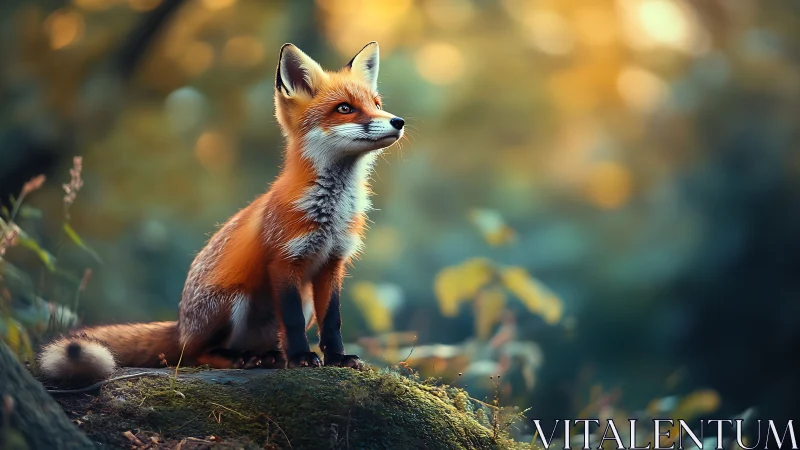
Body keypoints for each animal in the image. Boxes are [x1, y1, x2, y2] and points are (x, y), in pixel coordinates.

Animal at [38, 41, 405, 382]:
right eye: (344, 108)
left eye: (376, 104)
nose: (398, 121)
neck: (329, 211)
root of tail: (181, 325)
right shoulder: (284, 260)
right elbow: (293, 323)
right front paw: (302, 358)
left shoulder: (332, 262)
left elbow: (332, 321)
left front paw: (338, 359)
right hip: (232, 300)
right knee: (195, 354)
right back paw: (241, 358)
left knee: (263, 346)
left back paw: (269, 356)